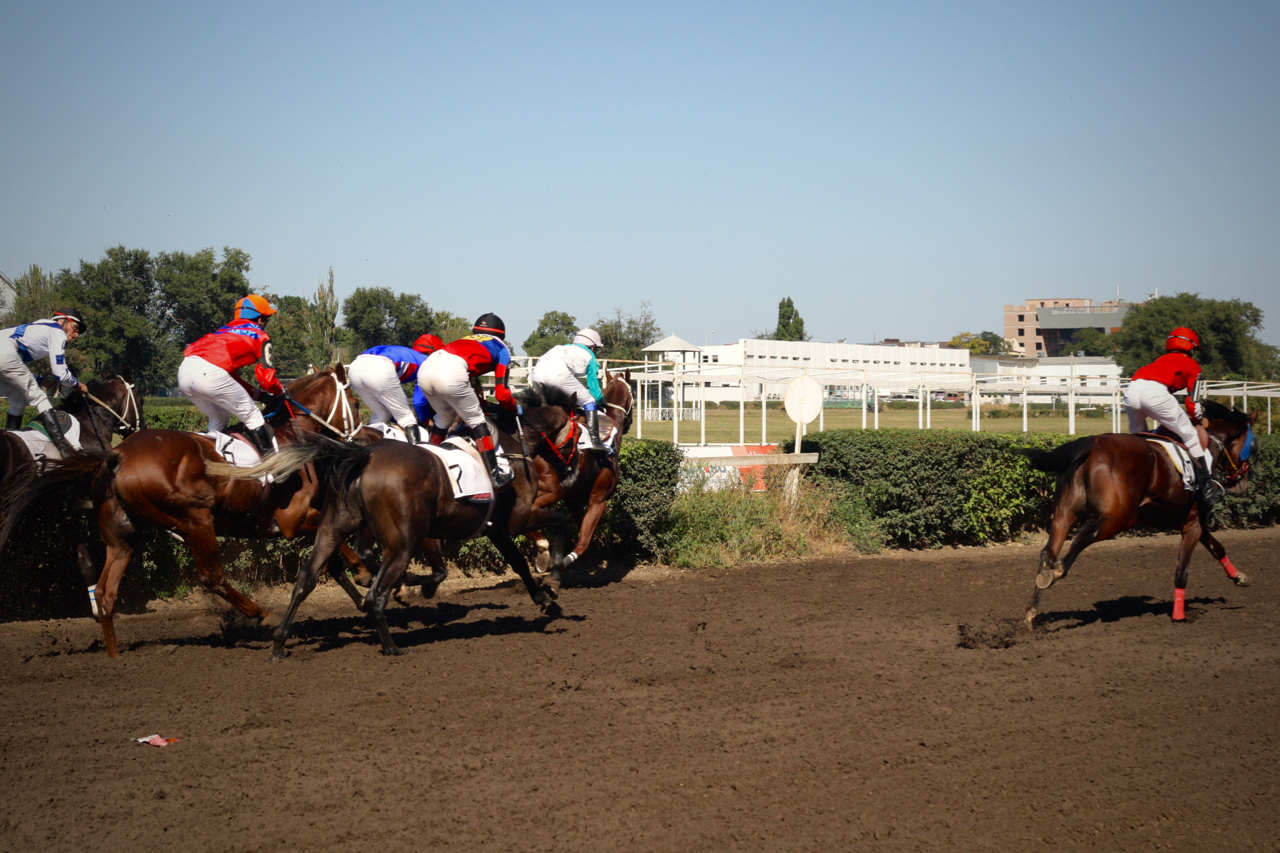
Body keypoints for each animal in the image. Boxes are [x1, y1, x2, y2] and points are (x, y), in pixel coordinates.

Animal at [6, 361, 366, 653]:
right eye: (356, 403)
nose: (362, 439)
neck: (292, 436)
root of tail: (117, 454)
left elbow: (331, 557)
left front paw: (364, 590)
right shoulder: (293, 520)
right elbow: (336, 539)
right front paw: (364, 572)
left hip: (122, 535)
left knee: (108, 594)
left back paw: (115, 657)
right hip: (196, 520)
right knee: (211, 576)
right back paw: (260, 613)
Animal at [232, 391, 578, 655]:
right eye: (580, 434)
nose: (572, 472)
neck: (510, 446)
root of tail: (364, 457)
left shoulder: (495, 528)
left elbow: (516, 562)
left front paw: (546, 599)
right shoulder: (517, 518)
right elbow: (560, 522)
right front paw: (554, 576)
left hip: (334, 527)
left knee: (308, 577)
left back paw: (280, 643)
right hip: (401, 543)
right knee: (377, 595)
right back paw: (392, 646)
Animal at [527, 368, 632, 573]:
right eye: (634, 394)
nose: (630, 422)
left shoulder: (573, 499)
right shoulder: (599, 499)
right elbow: (584, 542)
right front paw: (559, 563)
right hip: (553, 489)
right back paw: (543, 548)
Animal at [1024, 399, 1254, 625]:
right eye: (1251, 445)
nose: (1243, 482)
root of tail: (1094, 442)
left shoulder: (1191, 520)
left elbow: (1218, 548)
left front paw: (1240, 577)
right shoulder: (1193, 524)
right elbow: (1182, 571)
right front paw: (1179, 616)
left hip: (1066, 513)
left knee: (1049, 551)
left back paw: (1032, 610)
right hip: (1120, 517)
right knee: (1084, 534)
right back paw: (1055, 573)